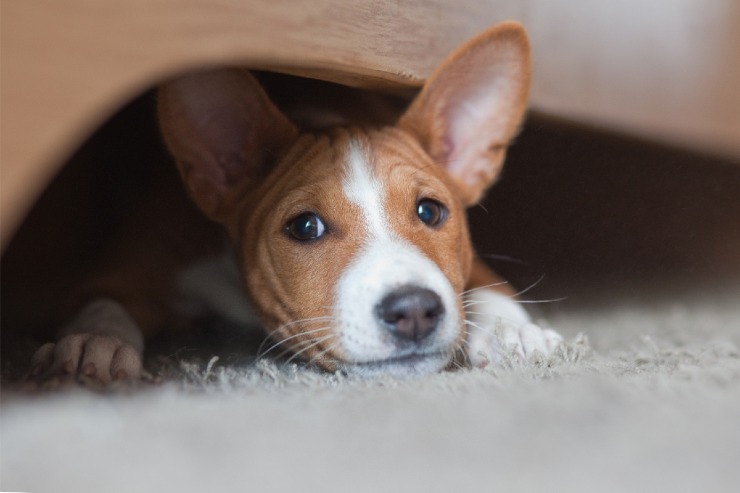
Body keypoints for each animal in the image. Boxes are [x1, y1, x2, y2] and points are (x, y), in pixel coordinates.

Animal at [27, 21, 560, 382]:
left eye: (430, 211)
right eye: (305, 226)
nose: (414, 310)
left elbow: (485, 282)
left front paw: (512, 329)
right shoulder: (119, 268)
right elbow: (102, 305)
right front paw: (93, 345)